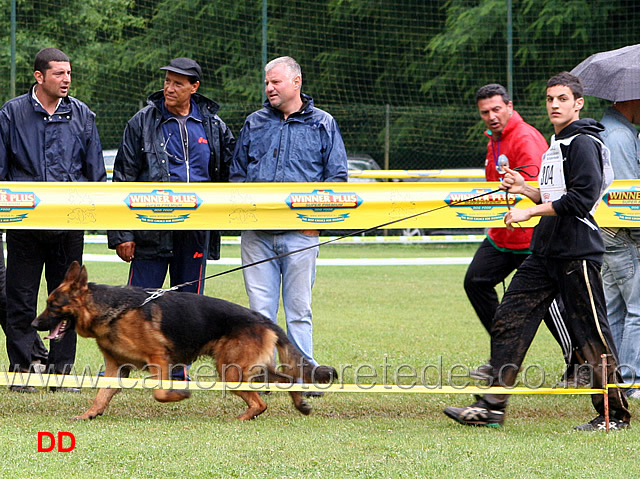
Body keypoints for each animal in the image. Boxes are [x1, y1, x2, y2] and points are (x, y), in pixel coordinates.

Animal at [32, 260, 338, 422]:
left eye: (53, 305)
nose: (34, 325)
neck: (109, 309)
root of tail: (263, 319)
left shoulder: (159, 360)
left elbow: (160, 392)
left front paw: (180, 395)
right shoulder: (115, 368)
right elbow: (102, 395)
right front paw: (89, 415)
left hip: (230, 370)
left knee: (262, 401)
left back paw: (244, 417)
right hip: (249, 369)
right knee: (289, 379)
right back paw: (299, 405)